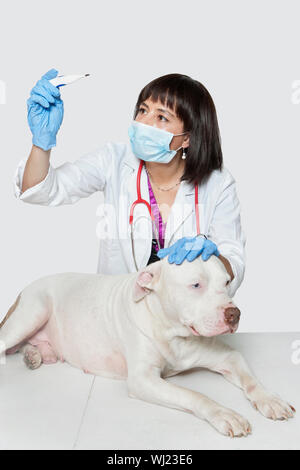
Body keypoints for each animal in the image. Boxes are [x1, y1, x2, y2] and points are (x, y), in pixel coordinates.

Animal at [0, 255, 296, 438]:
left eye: (226, 282)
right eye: (196, 285)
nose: (234, 314)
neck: (172, 331)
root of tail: (25, 288)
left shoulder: (228, 357)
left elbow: (250, 380)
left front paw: (271, 400)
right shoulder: (143, 380)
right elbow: (194, 395)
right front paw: (224, 413)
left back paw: (34, 355)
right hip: (33, 311)